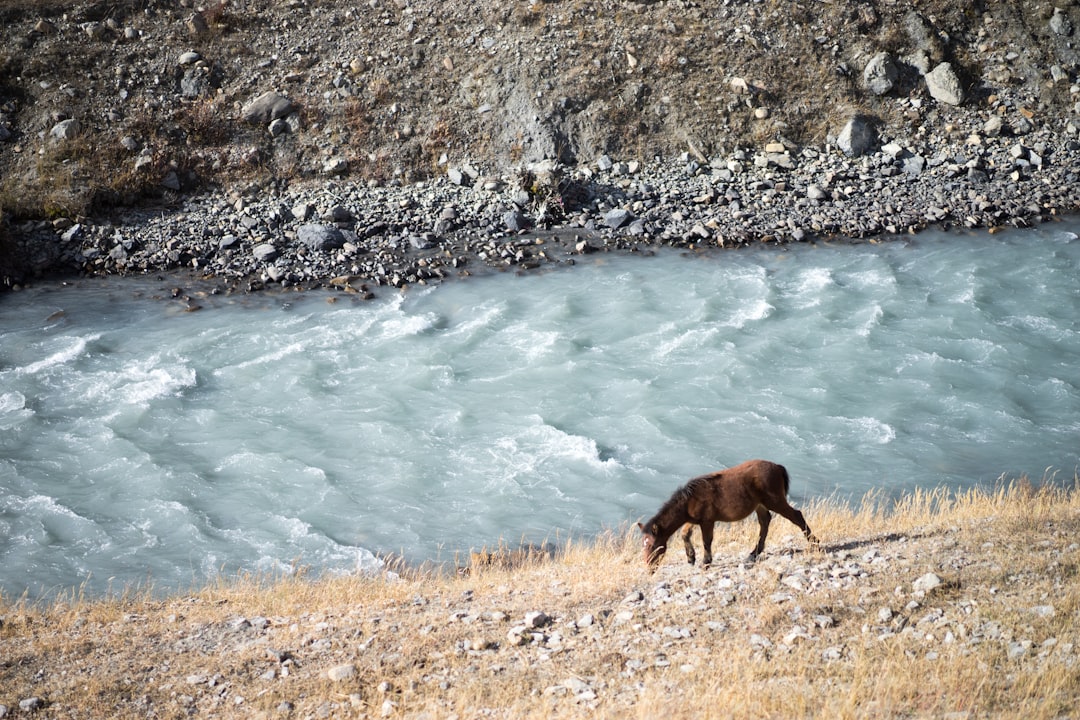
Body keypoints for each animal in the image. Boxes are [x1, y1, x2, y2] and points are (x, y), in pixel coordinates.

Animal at [635, 459, 812, 569]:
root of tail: (777, 466)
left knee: (796, 516)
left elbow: (706, 541)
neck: (690, 500)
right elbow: (685, 534)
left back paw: (814, 543)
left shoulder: (707, 521)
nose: (649, 567)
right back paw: (754, 553)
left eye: (653, 546)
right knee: (765, 522)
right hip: (760, 505)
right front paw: (691, 558)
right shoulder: (693, 519)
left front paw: (705, 562)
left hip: (774, 501)